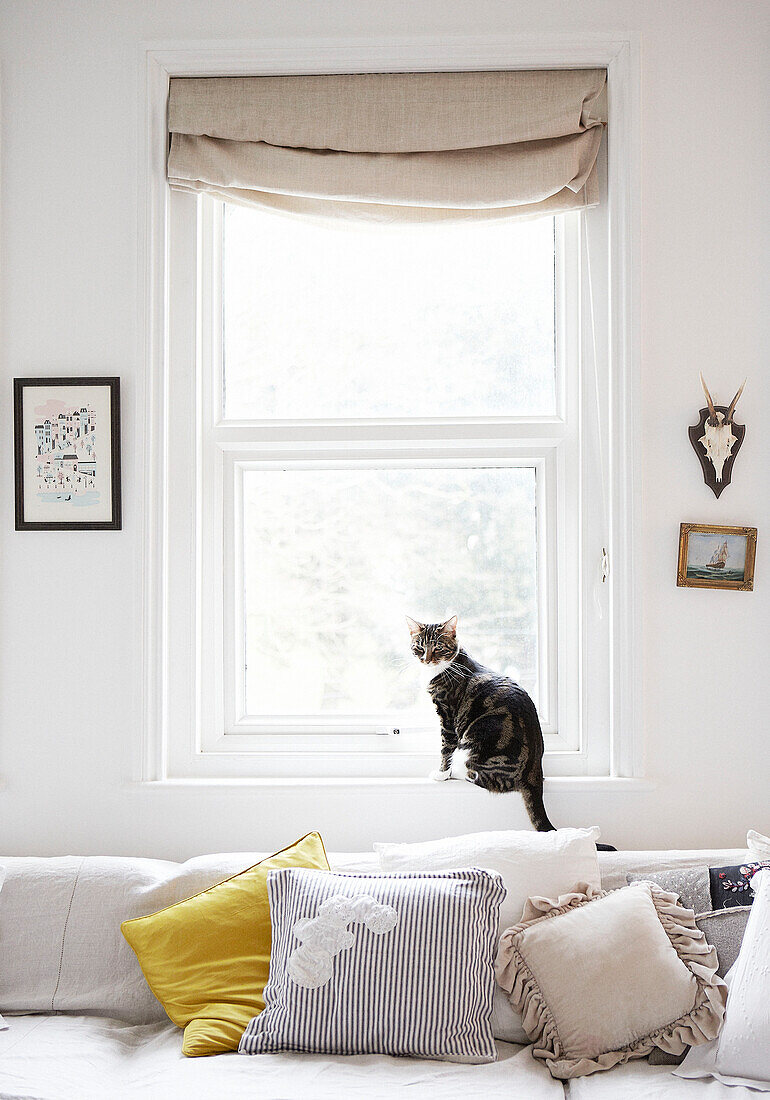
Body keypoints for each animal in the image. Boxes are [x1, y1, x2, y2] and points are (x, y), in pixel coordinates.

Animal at [409, 616, 554, 827]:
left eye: (438, 647)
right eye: (419, 647)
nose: (426, 660)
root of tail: (534, 770)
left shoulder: (447, 715)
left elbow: (446, 748)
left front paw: (442, 773)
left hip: (477, 746)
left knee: (478, 776)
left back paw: (455, 770)